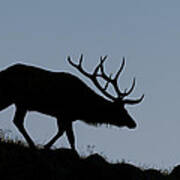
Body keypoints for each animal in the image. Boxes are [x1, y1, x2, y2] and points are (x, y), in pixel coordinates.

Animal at [0, 55, 144, 150]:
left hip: (17, 102)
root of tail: (3, 72)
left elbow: (65, 134)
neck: (81, 109)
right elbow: (69, 137)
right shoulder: (65, 114)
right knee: (18, 121)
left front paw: (47, 146)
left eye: (126, 109)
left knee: (17, 121)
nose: (133, 123)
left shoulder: (65, 116)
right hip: (13, 98)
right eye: (121, 110)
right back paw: (32, 145)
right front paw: (47, 146)